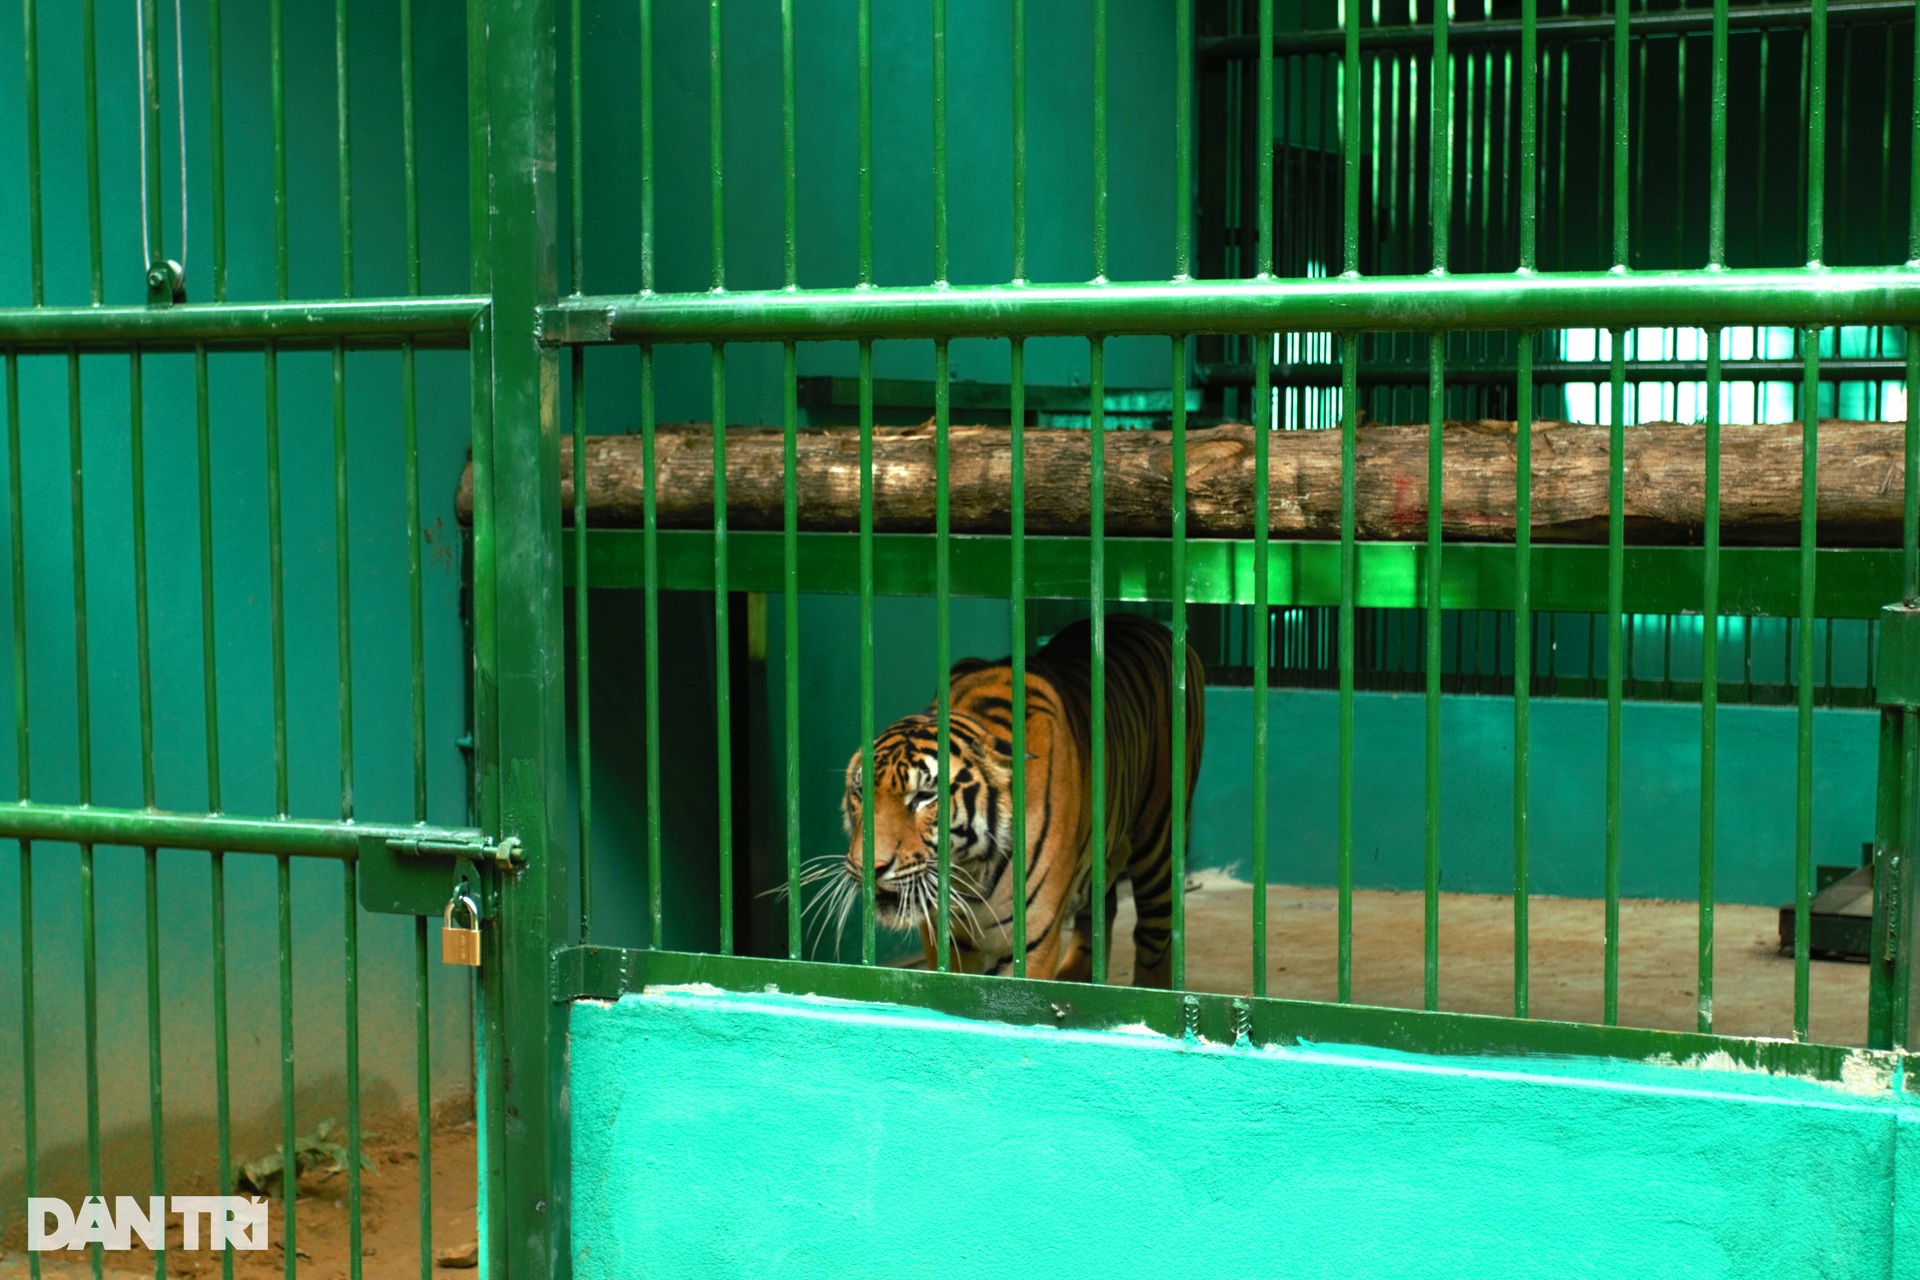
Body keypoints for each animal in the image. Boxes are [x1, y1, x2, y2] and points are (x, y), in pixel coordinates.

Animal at [837, 614, 1198, 990]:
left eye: (924, 797)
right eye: (860, 793)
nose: (869, 867)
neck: (969, 876)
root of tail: (1144, 621)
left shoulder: (1033, 942)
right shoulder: (946, 939)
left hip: (1159, 843)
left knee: (1154, 938)